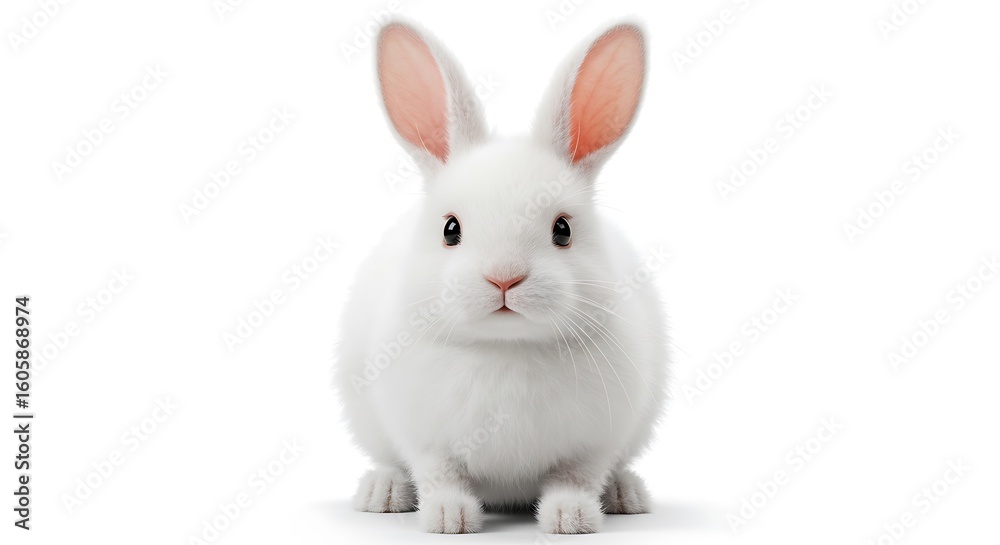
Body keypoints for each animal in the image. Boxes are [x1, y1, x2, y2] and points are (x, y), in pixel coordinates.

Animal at [334, 19, 668, 534]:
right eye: (450, 229)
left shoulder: (594, 443)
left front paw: (570, 518)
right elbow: (440, 475)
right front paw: (449, 519)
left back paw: (625, 493)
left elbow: (575, 477)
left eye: (562, 230)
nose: (504, 279)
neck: (506, 348)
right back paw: (382, 492)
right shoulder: (426, 440)